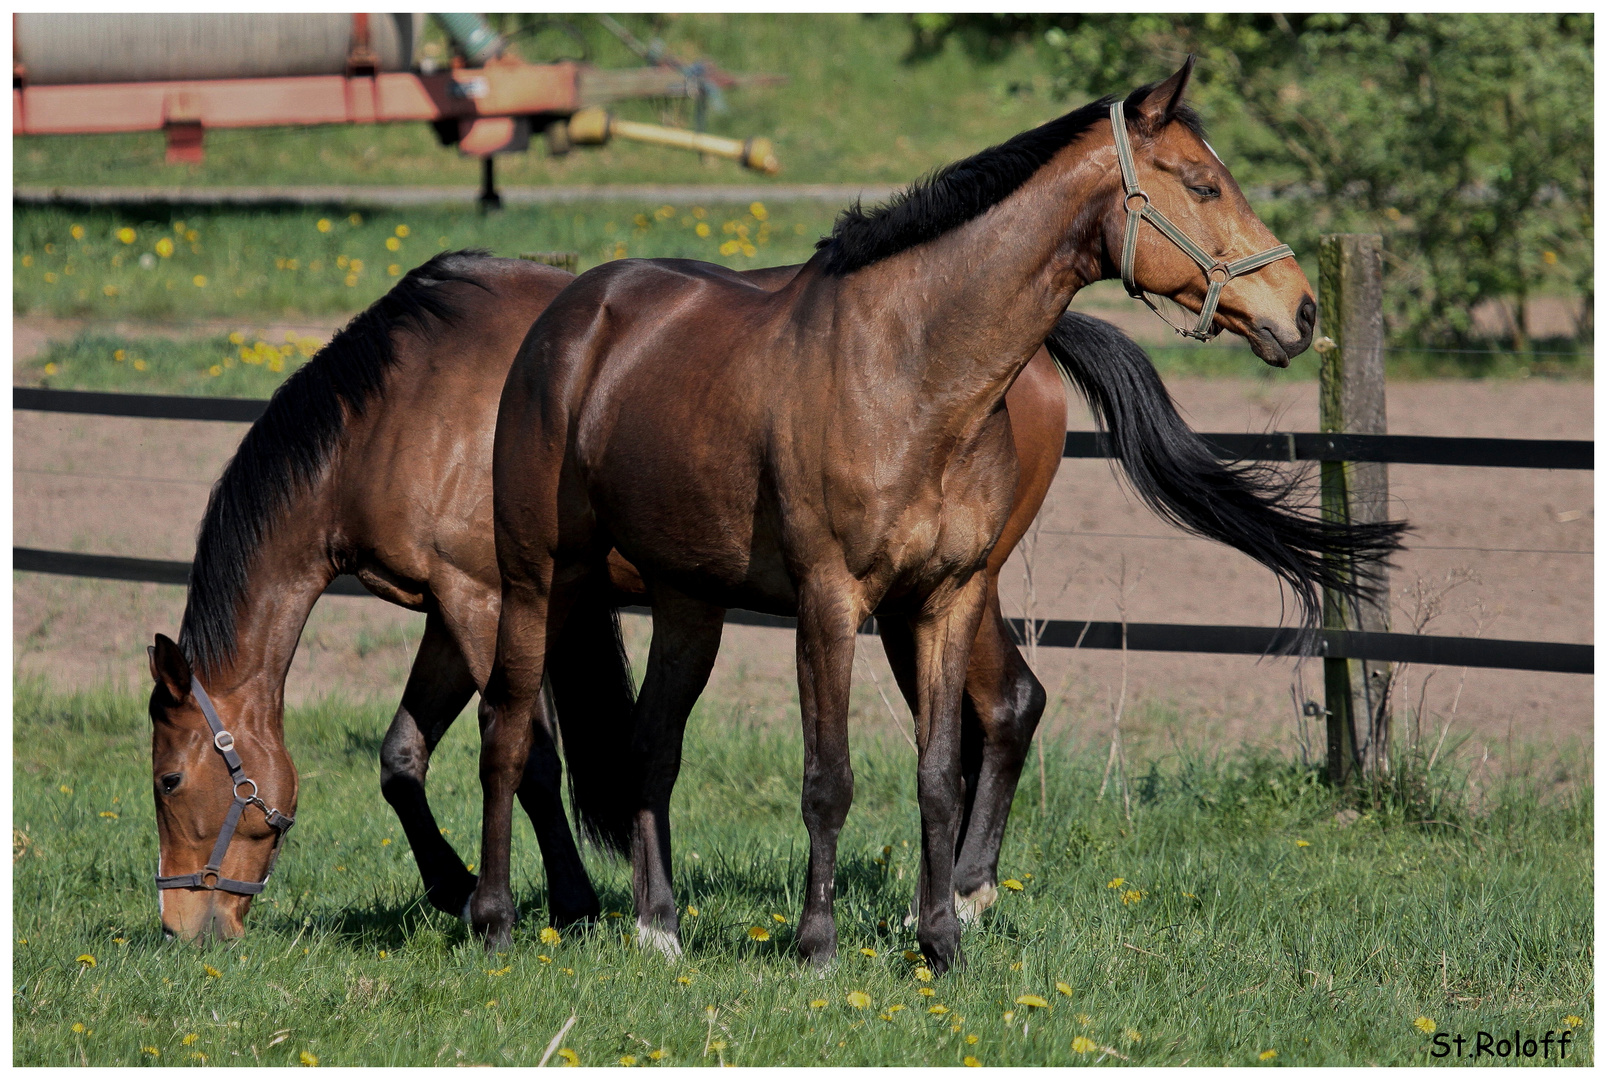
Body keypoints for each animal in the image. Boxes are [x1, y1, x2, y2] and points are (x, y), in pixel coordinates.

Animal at [485, 59, 1394, 970]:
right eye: (1204, 183)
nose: (1300, 311)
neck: (910, 371)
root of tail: (568, 317)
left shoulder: (945, 599)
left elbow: (934, 774)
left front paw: (941, 942)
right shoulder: (828, 604)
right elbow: (828, 779)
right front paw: (817, 945)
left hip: (688, 601)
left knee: (652, 746)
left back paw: (658, 928)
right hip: (536, 582)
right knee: (508, 732)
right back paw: (493, 919)